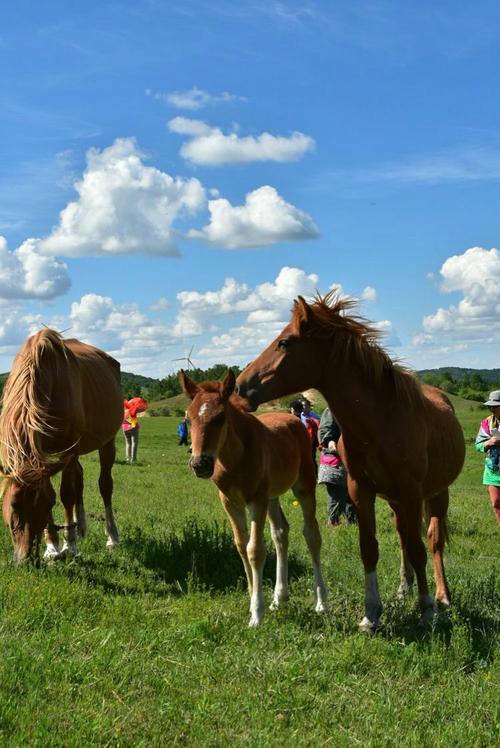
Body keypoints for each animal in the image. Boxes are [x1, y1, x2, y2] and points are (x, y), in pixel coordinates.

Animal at [0, 329, 123, 563]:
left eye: (49, 504)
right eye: (13, 505)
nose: (25, 558)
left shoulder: (69, 450)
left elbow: (67, 493)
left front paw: (69, 545)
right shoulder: (46, 457)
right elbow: (62, 488)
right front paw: (52, 547)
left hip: (107, 442)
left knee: (105, 485)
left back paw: (112, 537)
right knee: (80, 478)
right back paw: (81, 525)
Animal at [180, 368, 328, 626]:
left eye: (220, 418)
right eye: (188, 420)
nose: (200, 464)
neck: (234, 460)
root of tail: (293, 420)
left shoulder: (256, 499)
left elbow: (255, 549)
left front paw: (257, 613)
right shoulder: (230, 501)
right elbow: (241, 545)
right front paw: (252, 599)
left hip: (303, 486)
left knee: (311, 534)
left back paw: (321, 601)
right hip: (272, 496)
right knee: (280, 533)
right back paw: (280, 597)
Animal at [236, 292, 466, 633]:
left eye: (285, 342)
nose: (240, 386)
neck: (381, 419)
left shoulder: (411, 492)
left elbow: (419, 549)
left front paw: (426, 611)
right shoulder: (362, 490)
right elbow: (369, 548)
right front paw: (371, 614)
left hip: (436, 494)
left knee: (432, 541)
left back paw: (441, 596)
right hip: (396, 501)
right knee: (402, 536)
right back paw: (404, 589)